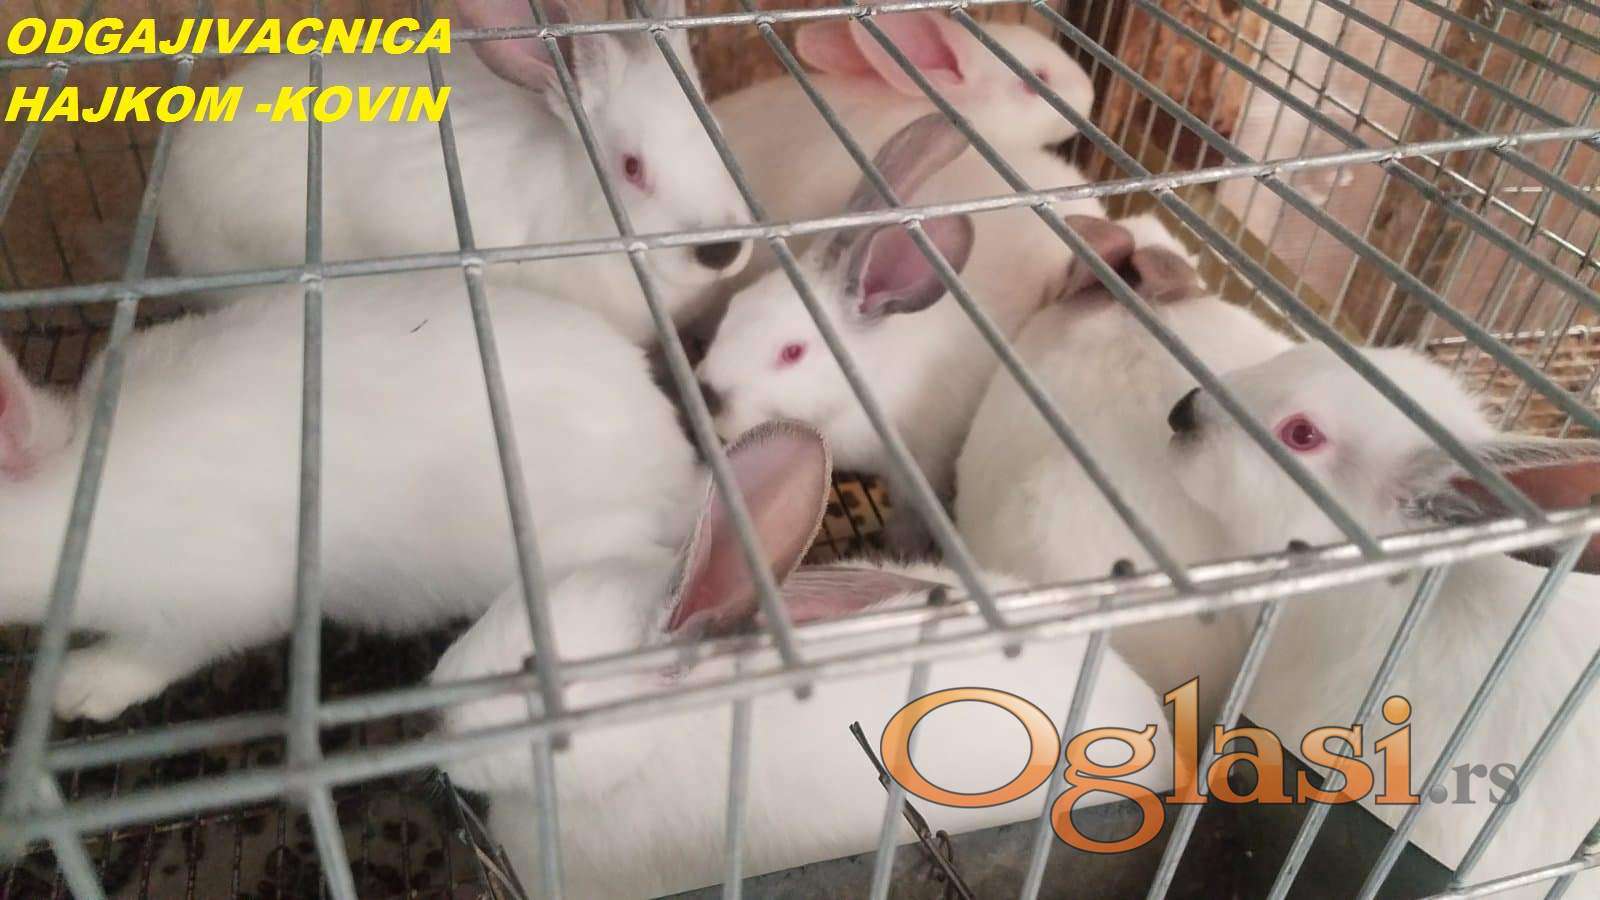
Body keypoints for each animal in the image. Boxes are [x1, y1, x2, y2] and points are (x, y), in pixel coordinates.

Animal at [694, 113, 1105, 557]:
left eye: (792, 352)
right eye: (736, 307)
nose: (708, 395)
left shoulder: (924, 462)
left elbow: (911, 513)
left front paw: (898, 547)